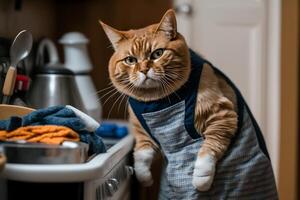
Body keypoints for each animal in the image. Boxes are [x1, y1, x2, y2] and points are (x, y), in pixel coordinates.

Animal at [99, 8, 278, 199]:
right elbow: (141, 153)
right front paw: (144, 178)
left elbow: (208, 151)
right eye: (130, 60)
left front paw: (201, 180)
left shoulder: (222, 116)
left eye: (157, 53)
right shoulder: (140, 129)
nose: (144, 70)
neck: (154, 101)